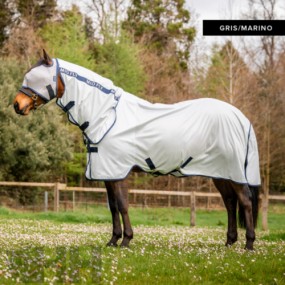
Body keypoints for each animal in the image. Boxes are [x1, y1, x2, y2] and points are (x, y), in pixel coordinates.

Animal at [13, 50, 260, 250]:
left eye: (35, 78)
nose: (17, 105)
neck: (106, 115)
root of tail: (241, 118)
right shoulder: (108, 174)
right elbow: (113, 207)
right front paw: (113, 240)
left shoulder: (119, 171)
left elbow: (122, 205)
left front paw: (126, 240)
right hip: (221, 173)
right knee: (230, 202)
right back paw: (229, 242)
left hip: (233, 172)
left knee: (245, 202)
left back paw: (249, 244)